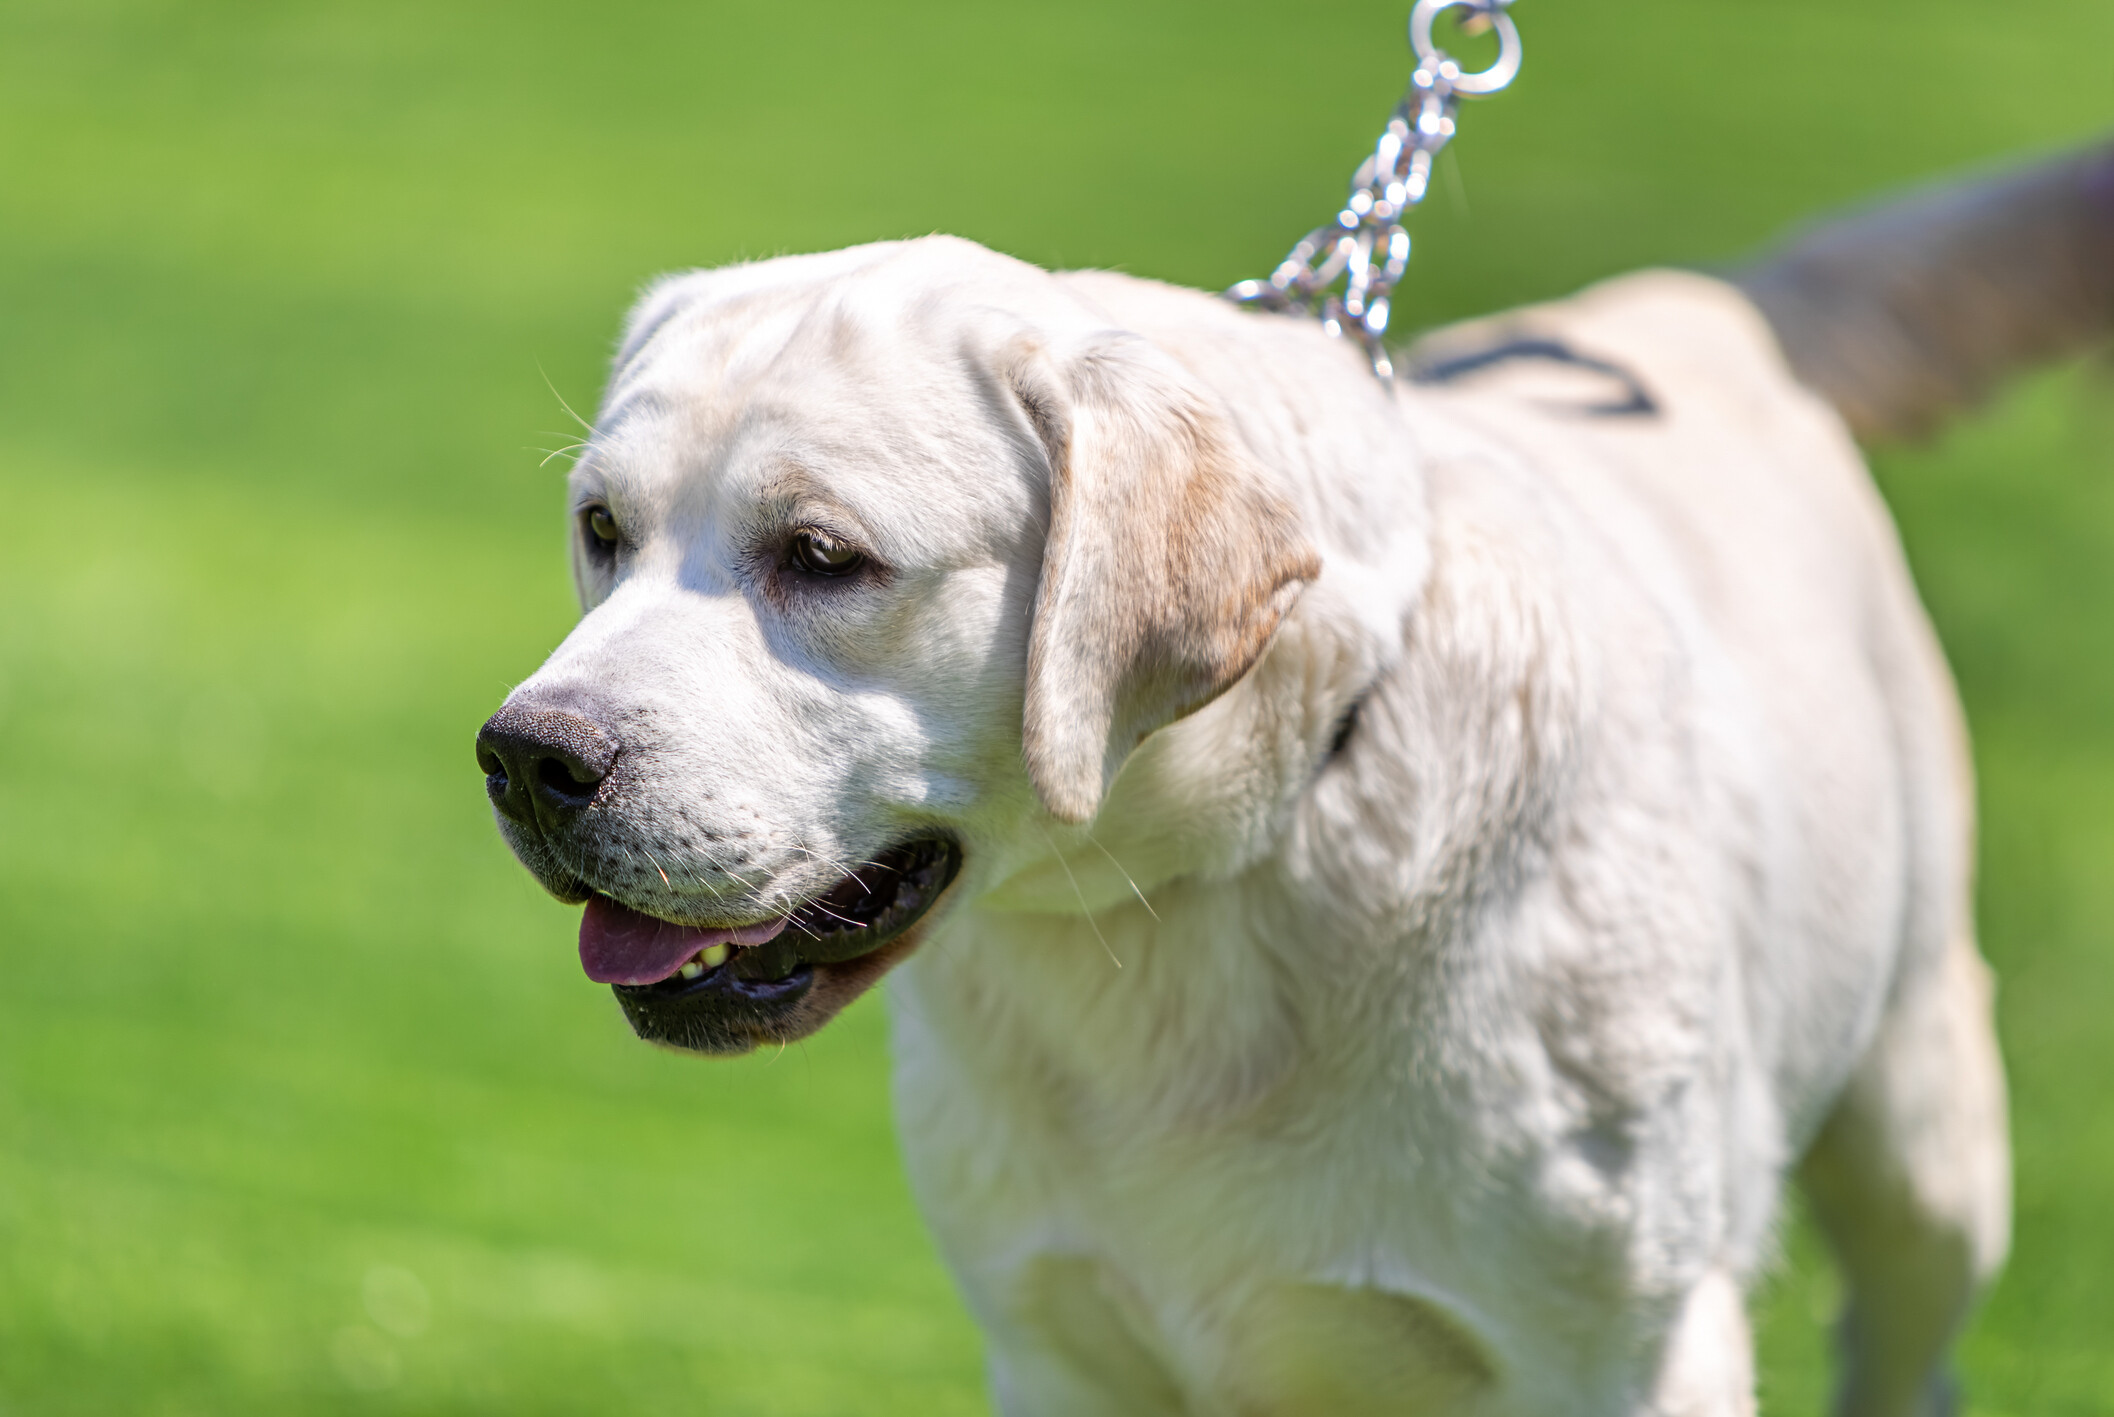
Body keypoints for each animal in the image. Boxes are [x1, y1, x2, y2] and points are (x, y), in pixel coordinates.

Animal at [484, 146, 2114, 1417]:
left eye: (822, 556)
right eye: (601, 530)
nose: (526, 757)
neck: (1188, 904)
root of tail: (1682, 307)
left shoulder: (1635, 1353)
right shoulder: (1056, 1342)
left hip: (1924, 1139)